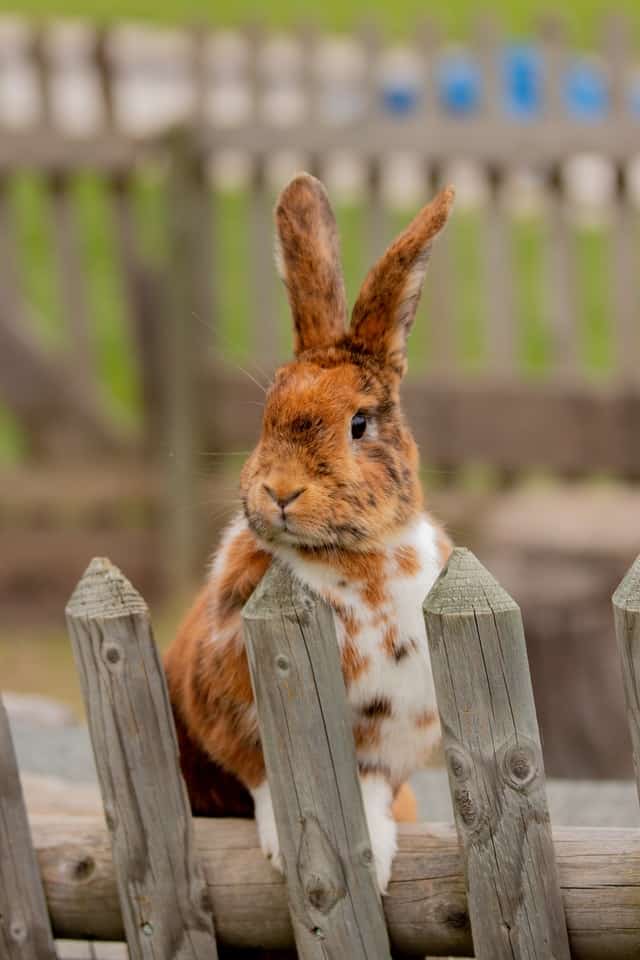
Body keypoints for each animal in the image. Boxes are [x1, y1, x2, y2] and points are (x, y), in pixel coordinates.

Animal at [165, 172, 454, 894]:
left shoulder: (393, 731)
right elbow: (266, 781)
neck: (348, 563)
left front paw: (375, 856)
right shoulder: (230, 713)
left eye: (359, 424)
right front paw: (279, 848)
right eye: (267, 412)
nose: (280, 491)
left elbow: (373, 787)